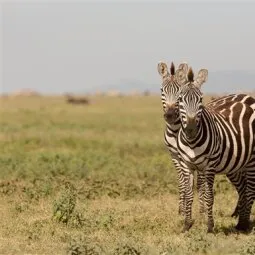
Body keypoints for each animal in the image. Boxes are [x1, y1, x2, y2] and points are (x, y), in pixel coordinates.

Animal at [175, 66, 255, 232]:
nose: (191, 129)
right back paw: (240, 222)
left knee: (250, 189)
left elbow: (209, 196)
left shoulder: (209, 166)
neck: (192, 142)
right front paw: (187, 225)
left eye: (200, 99)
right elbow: (189, 194)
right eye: (180, 100)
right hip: (236, 164)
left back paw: (244, 224)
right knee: (243, 188)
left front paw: (210, 227)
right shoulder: (186, 165)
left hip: (252, 159)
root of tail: (248, 97)